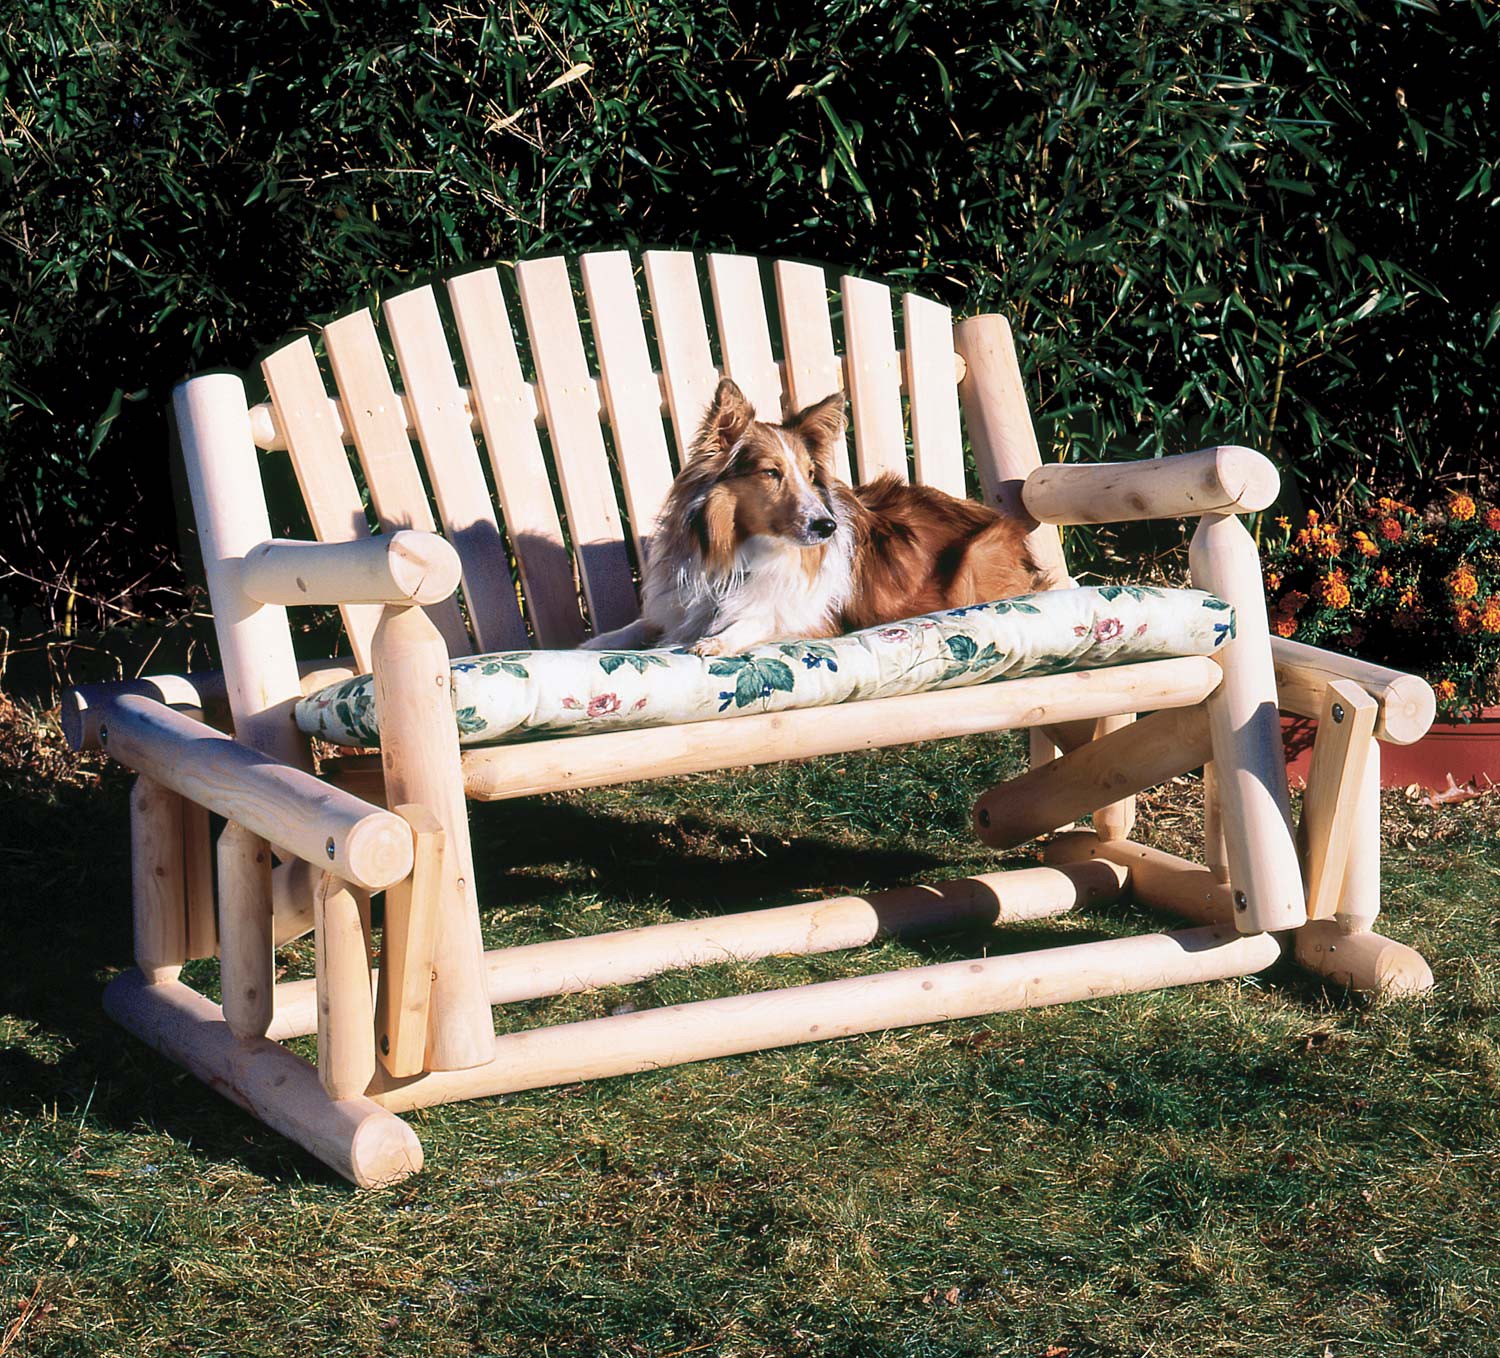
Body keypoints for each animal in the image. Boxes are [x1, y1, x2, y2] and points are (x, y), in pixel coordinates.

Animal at [585, 373, 1044, 654]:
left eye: (809, 474)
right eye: (771, 472)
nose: (827, 527)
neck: (741, 552)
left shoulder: (812, 619)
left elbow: (761, 619)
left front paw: (717, 641)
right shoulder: (679, 605)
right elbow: (642, 624)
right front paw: (594, 642)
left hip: (975, 563)